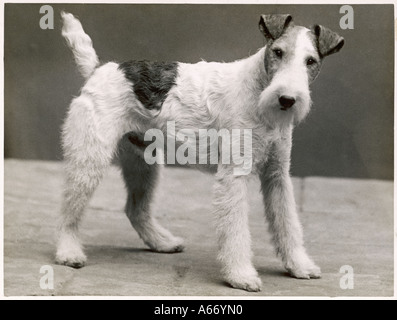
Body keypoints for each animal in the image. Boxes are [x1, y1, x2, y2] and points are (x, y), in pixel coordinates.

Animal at [55, 11, 344, 292]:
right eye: (278, 52)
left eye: (311, 61)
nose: (286, 99)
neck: (258, 93)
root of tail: (98, 69)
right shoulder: (233, 176)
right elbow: (236, 230)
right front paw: (240, 275)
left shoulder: (277, 175)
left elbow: (288, 223)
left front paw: (300, 266)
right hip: (90, 158)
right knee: (68, 211)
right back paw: (69, 253)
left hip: (143, 164)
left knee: (135, 209)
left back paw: (163, 242)